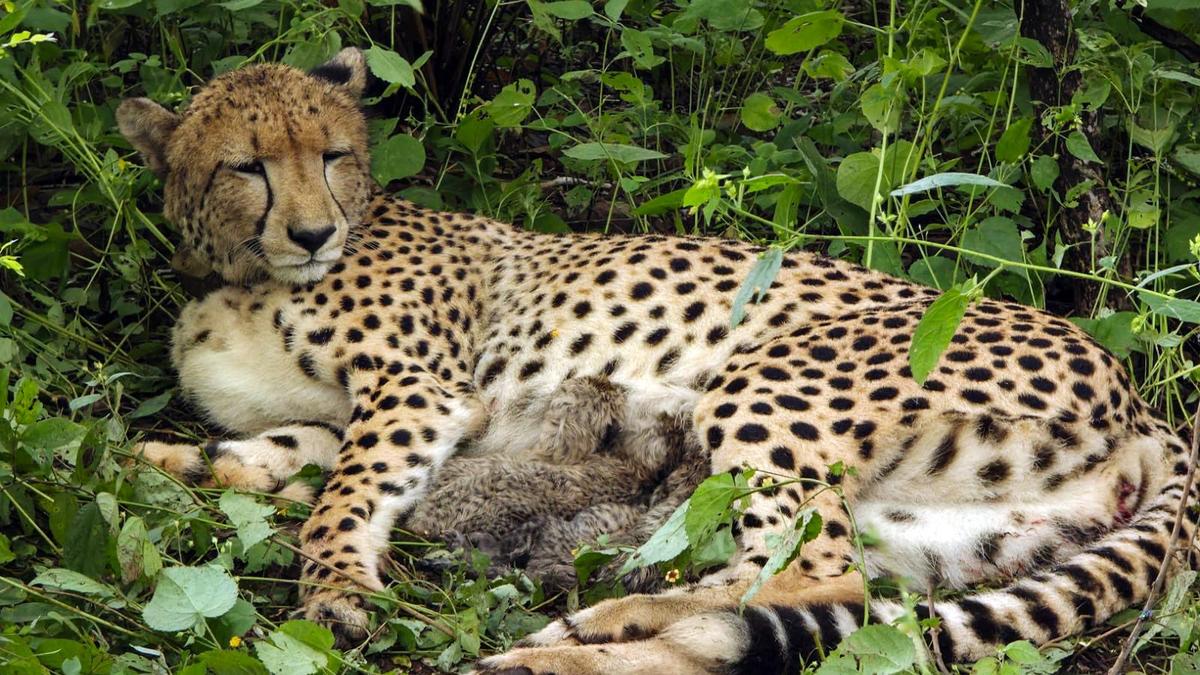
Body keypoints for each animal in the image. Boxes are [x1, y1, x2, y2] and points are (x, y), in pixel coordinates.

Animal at [117, 47, 1196, 673]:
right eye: (246, 165)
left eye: (333, 154)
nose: (311, 232)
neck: (240, 272)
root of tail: (1145, 404)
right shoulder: (348, 415)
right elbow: (273, 455)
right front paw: (164, 462)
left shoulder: (419, 392)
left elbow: (342, 495)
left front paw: (336, 590)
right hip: (941, 530)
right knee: (829, 593)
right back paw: (570, 646)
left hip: (767, 385)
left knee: (803, 577)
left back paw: (591, 630)